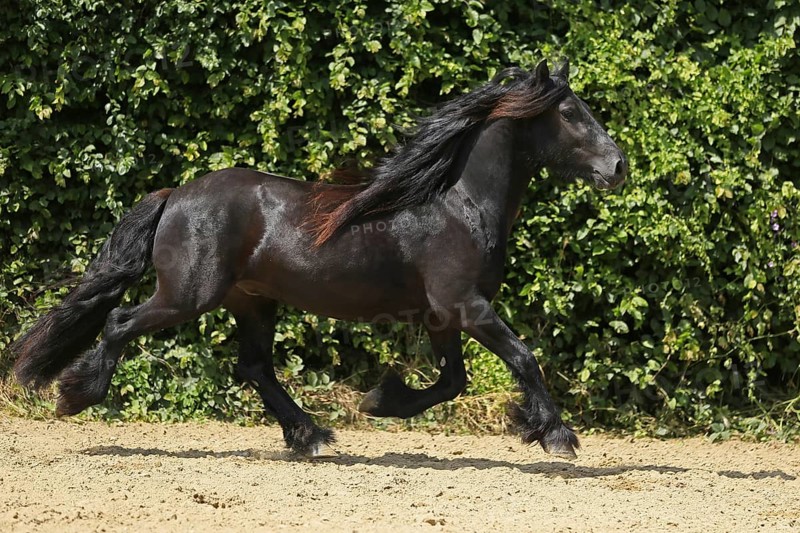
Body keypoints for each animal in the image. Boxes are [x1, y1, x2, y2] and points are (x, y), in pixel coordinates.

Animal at [11, 59, 626, 459]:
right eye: (570, 112)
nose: (617, 167)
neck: (460, 206)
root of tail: (176, 196)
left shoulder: (444, 315)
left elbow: (452, 381)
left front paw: (380, 401)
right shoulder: (467, 307)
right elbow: (523, 357)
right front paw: (556, 435)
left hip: (252, 302)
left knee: (254, 367)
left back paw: (310, 436)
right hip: (188, 295)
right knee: (120, 321)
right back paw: (74, 395)